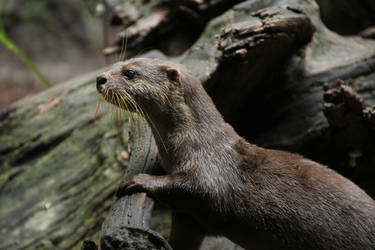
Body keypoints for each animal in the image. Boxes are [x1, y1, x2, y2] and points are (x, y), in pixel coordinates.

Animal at [97, 58, 375, 250]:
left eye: (130, 73)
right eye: (118, 62)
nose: (100, 78)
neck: (197, 142)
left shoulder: (211, 170)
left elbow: (198, 187)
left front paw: (140, 180)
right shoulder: (189, 218)